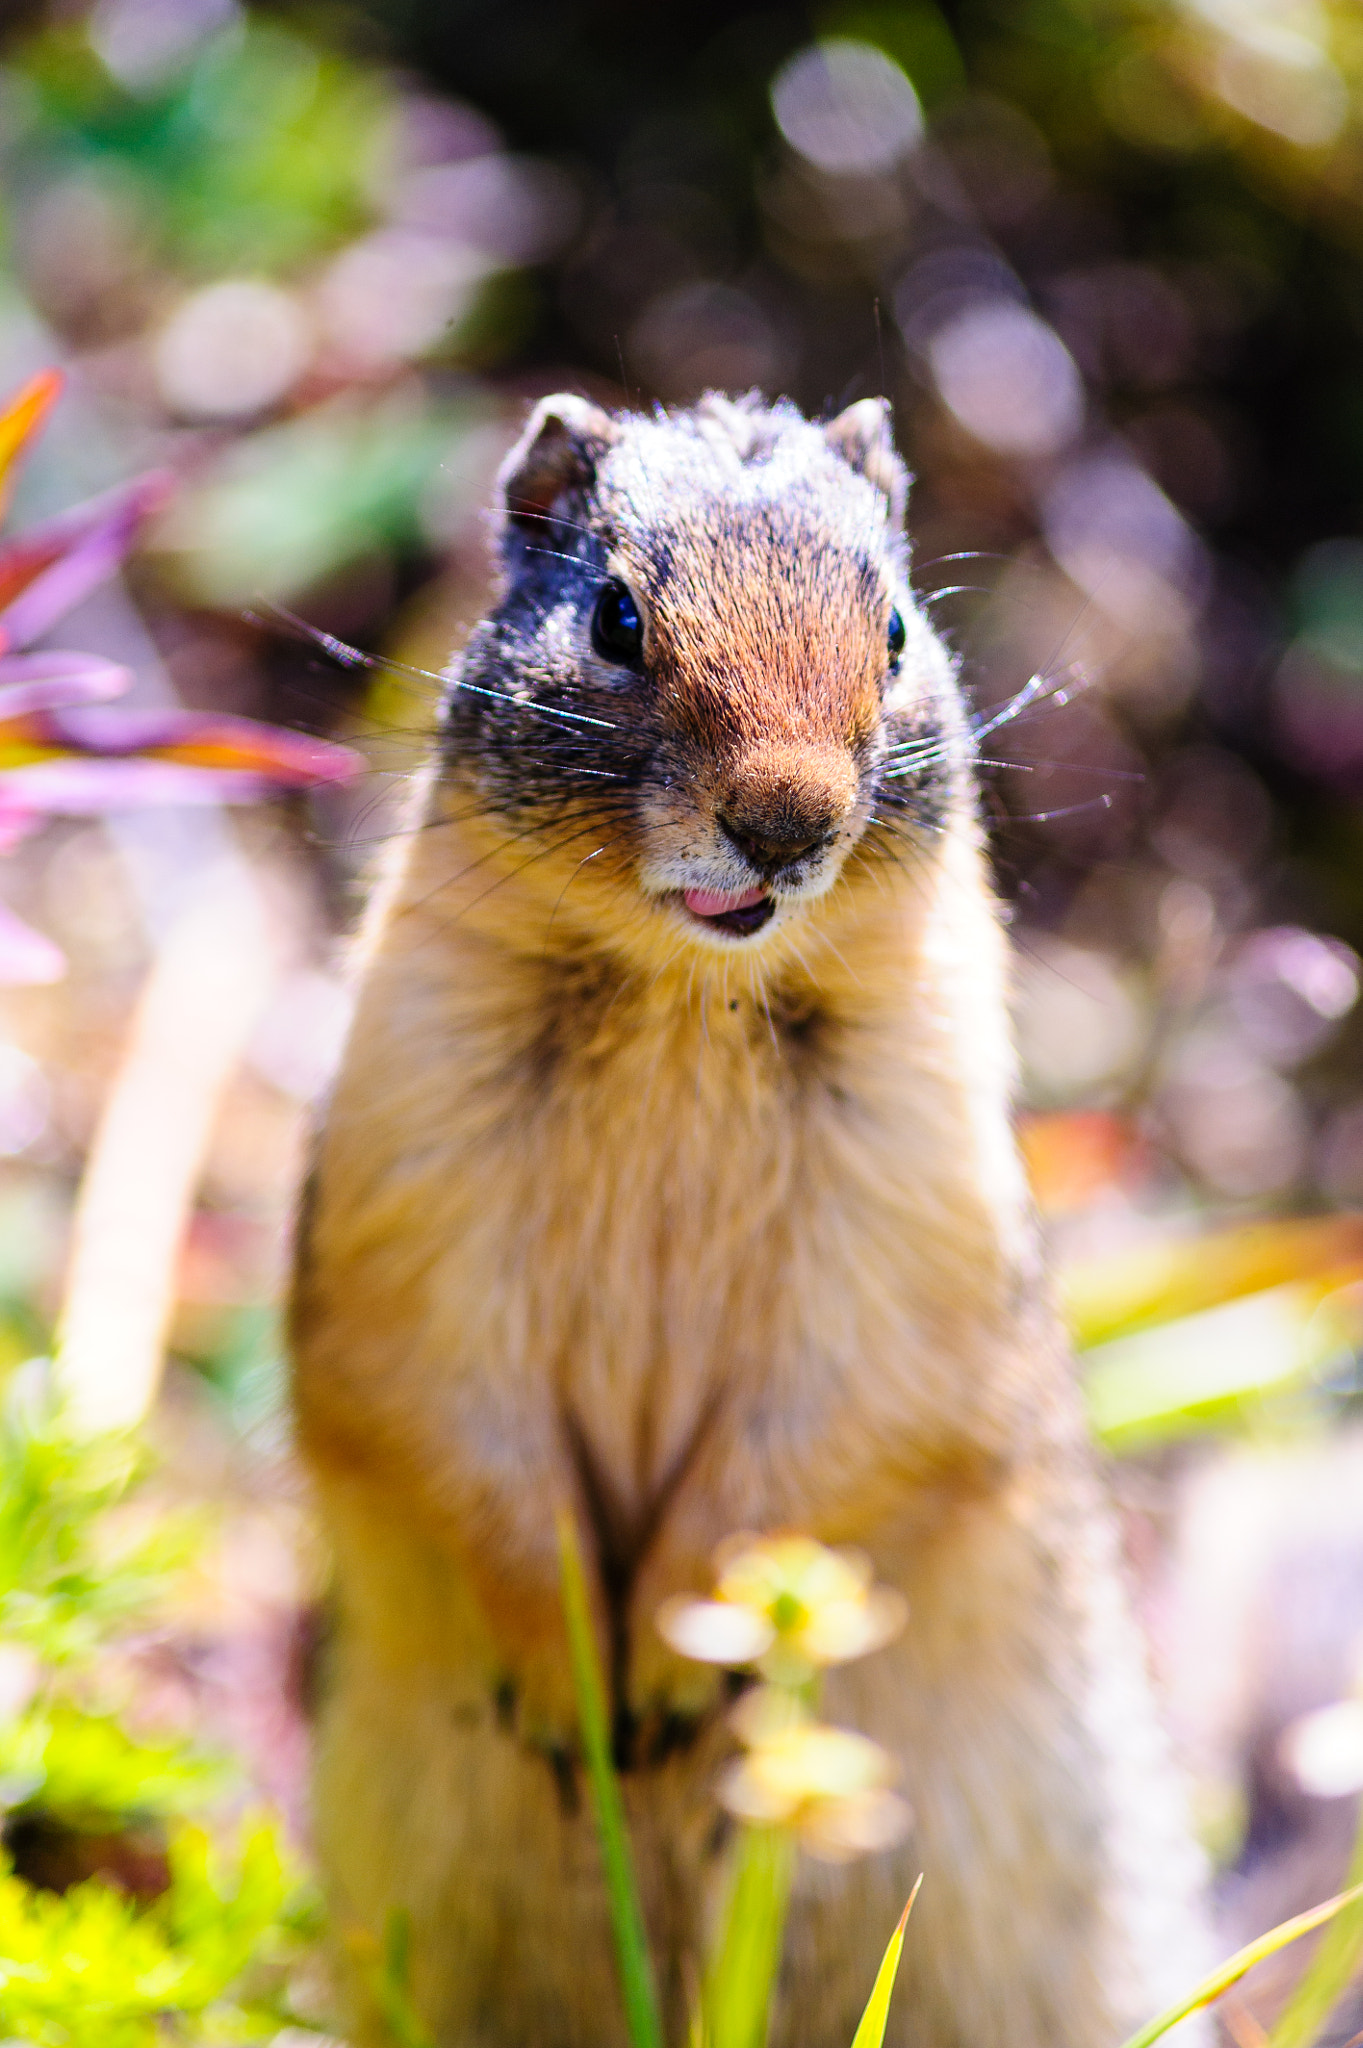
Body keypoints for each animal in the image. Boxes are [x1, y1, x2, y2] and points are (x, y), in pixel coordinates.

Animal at [292, 387, 1203, 2048]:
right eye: (611, 616)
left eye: (895, 627)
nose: (783, 821)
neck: (687, 999)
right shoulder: (410, 1215)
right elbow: (462, 1438)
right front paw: (573, 1687)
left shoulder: (898, 1244)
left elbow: (810, 1449)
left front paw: (664, 1669)